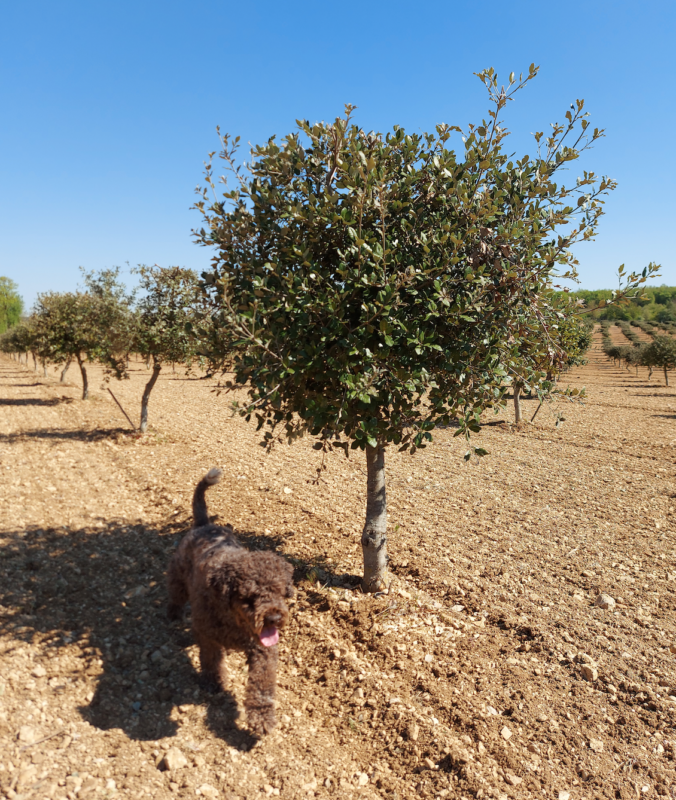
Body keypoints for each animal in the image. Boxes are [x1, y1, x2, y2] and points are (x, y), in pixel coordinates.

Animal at [168, 468, 294, 736]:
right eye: (249, 597)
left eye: (280, 591)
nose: (274, 618)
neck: (235, 621)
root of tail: (204, 524)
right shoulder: (208, 636)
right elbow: (211, 661)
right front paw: (215, 683)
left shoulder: (263, 649)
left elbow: (261, 684)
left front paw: (261, 717)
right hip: (178, 575)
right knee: (174, 594)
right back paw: (172, 615)